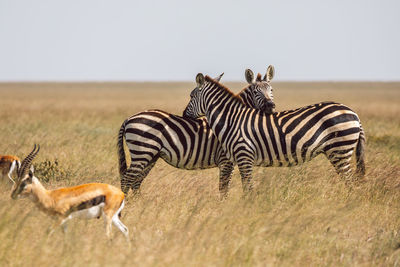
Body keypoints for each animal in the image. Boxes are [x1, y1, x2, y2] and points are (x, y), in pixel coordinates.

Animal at [117, 66, 276, 198]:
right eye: (255, 92)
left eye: (271, 90)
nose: (271, 106)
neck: (232, 117)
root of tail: (129, 118)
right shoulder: (226, 160)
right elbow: (224, 188)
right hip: (142, 152)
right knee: (127, 180)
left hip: (150, 155)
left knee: (136, 181)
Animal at [184, 74, 366, 195]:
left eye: (191, 96)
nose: (184, 115)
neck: (231, 119)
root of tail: (354, 114)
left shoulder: (244, 156)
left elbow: (247, 189)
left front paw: (248, 211)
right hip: (338, 151)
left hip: (340, 149)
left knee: (351, 183)